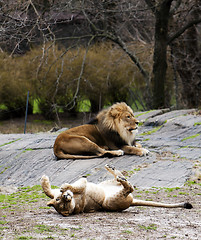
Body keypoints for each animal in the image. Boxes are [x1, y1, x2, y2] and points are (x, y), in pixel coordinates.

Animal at [40, 164, 192, 217]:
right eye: (63, 206)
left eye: (59, 200)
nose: (66, 196)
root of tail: (132, 202)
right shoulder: (82, 189)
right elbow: (79, 184)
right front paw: (65, 186)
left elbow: (48, 191)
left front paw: (45, 179)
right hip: (110, 202)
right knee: (129, 187)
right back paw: (121, 178)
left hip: (106, 183)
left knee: (121, 177)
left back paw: (111, 168)